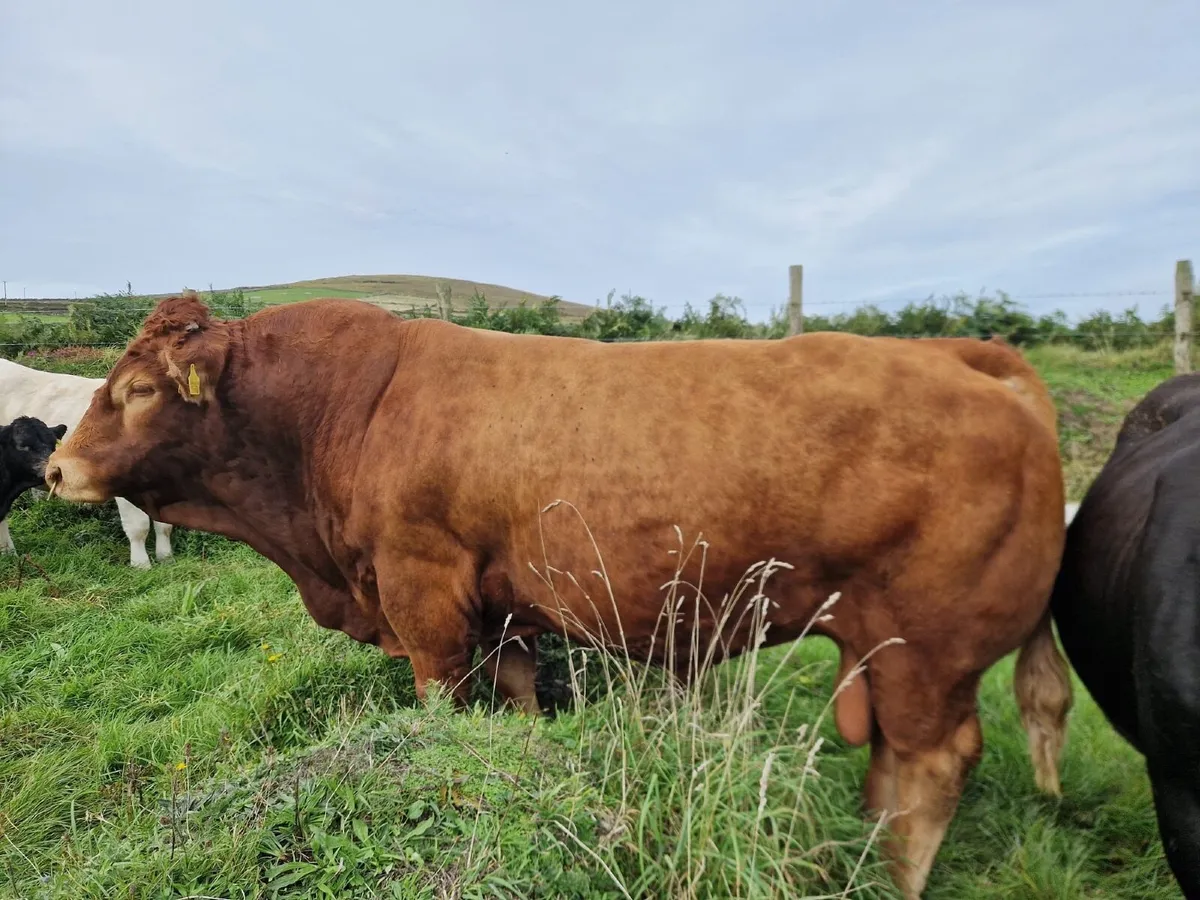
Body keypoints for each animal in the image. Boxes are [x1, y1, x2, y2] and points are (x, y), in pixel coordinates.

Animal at [45, 292, 1073, 899]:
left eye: (138, 390)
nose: (54, 469)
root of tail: (962, 354)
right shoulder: (504, 608)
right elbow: (519, 700)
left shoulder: (422, 592)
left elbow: (440, 703)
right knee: (894, 764)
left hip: (926, 647)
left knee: (930, 767)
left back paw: (889, 873)